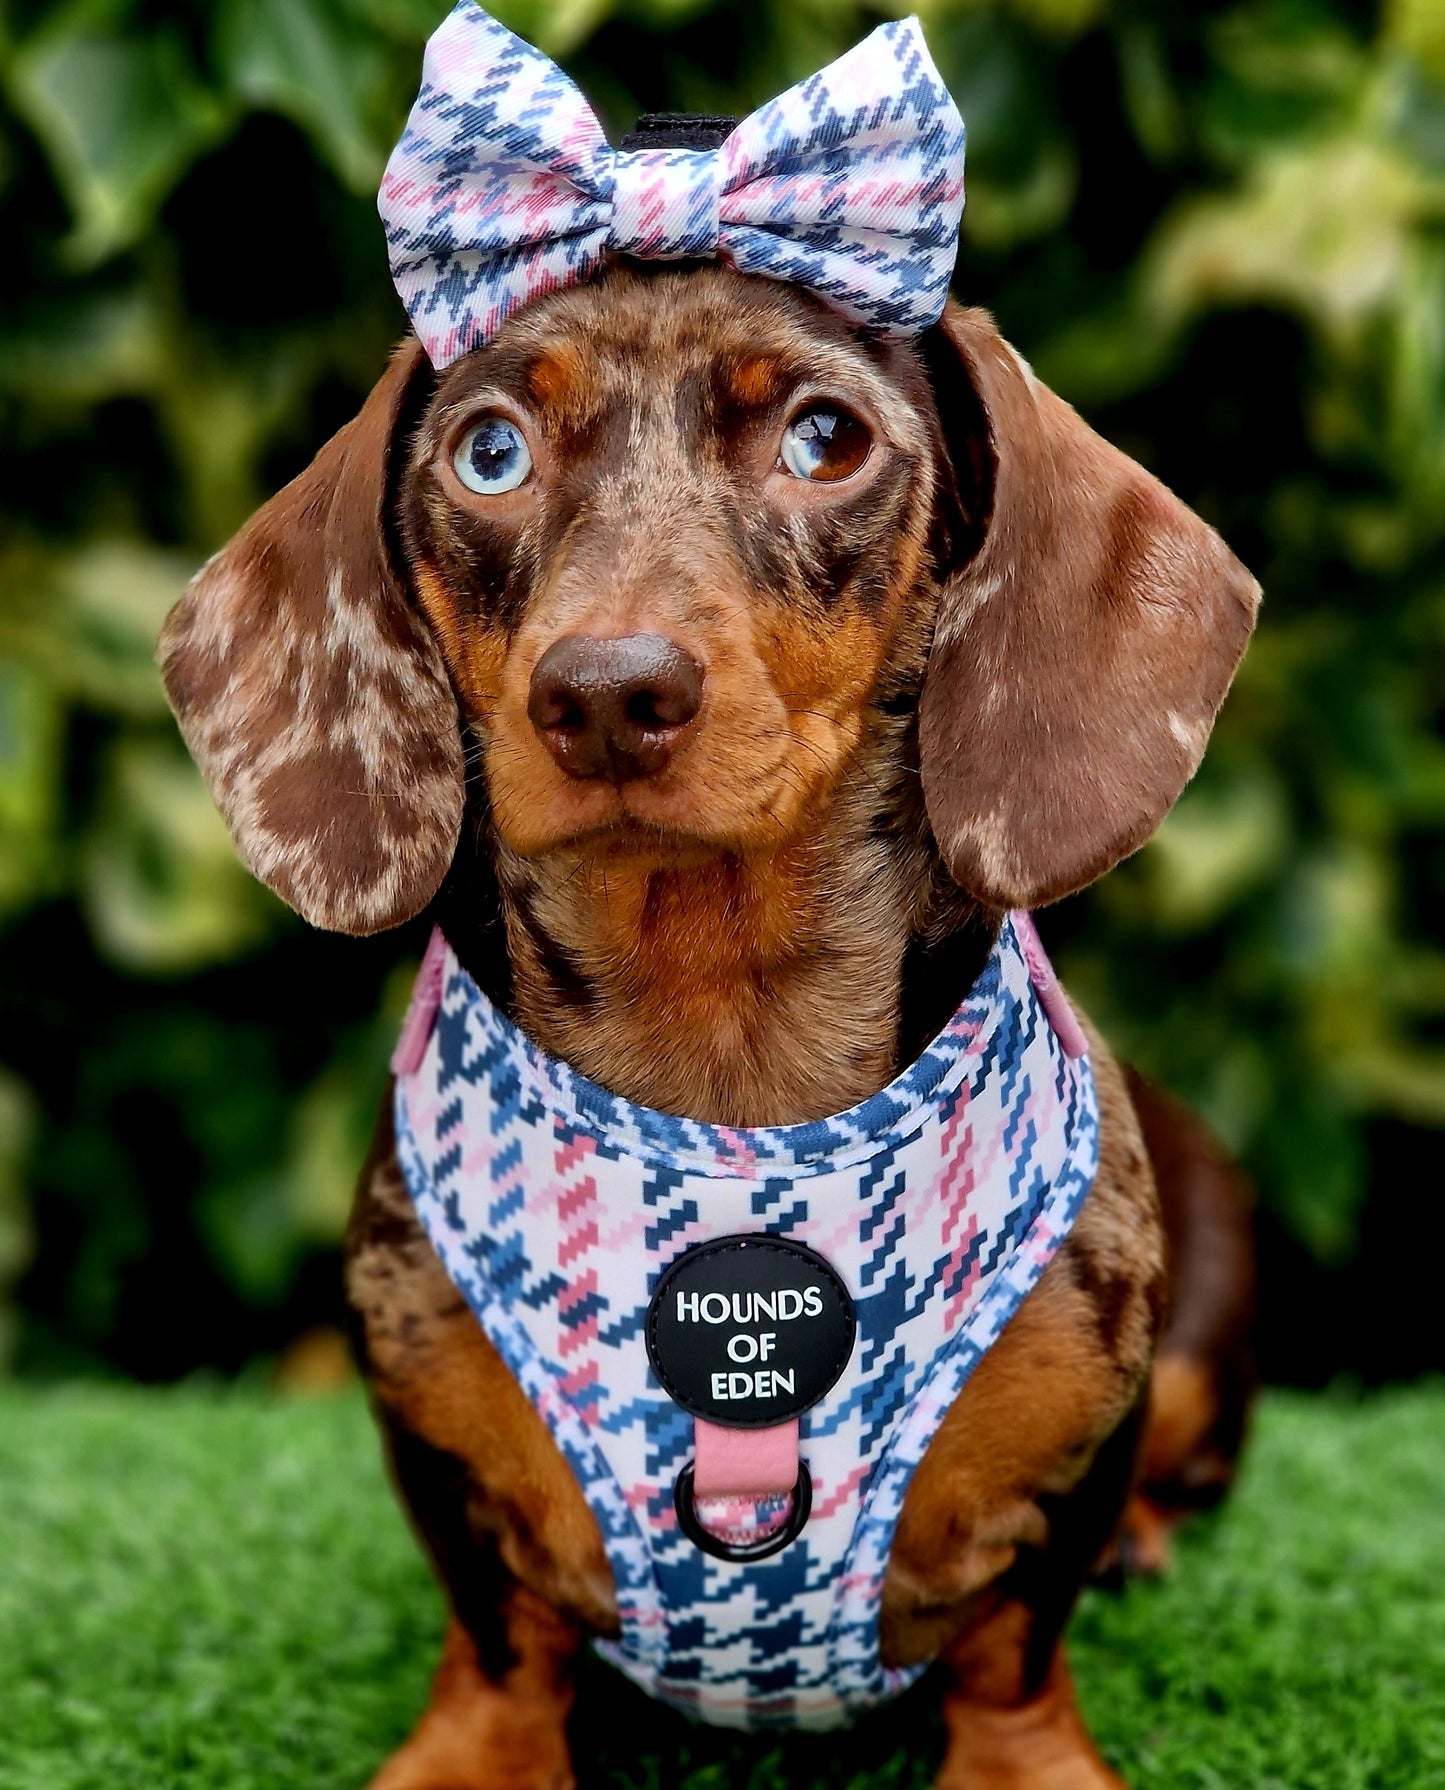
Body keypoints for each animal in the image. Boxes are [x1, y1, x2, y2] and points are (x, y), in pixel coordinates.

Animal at [158, 264, 1260, 1790]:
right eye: (488, 450)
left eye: (824, 436)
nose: (607, 694)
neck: (724, 1069)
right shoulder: (424, 1419)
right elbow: (496, 1639)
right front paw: (471, 1753)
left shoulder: (1080, 1445)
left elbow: (1013, 1650)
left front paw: (1026, 1758)